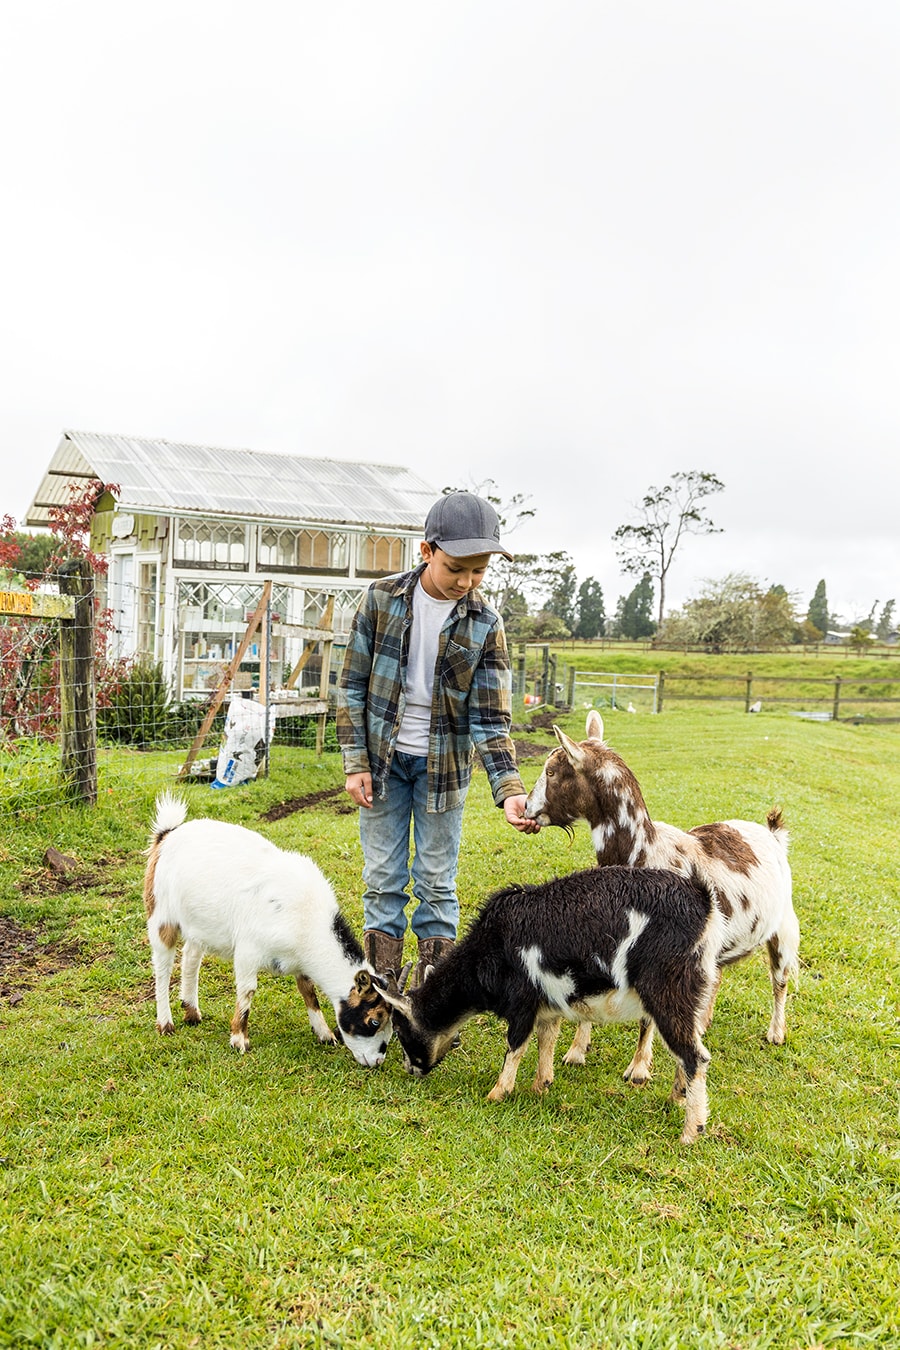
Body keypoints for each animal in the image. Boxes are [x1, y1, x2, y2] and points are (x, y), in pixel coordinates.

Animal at [143, 788, 391, 1063]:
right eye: (373, 1021)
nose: (378, 1060)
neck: (307, 920)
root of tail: (168, 834)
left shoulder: (299, 961)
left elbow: (308, 991)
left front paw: (324, 1033)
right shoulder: (248, 950)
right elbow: (248, 991)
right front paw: (239, 1039)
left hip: (199, 923)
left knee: (190, 957)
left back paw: (192, 1012)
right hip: (161, 916)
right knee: (162, 968)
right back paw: (166, 1024)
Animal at [377, 869, 728, 1144]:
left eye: (400, 1029)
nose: (411, 1069)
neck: (492, 944)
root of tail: (704, 903)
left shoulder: (522, 1000)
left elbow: (516, 1045)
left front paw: (497, 1093)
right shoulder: (547, 1005)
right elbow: (547, 1039)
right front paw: (540, 1086)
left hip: (668, 990)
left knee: (695, 1055)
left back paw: (691, 1132)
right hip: (693, 995)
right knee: (689, 1049)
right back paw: (676, 1097)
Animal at [523, 712, 798, 1080]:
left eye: (552, 771)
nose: (526, 806)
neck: (644, 850)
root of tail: (772, 833)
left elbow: (646, 1016)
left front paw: (638, 1068)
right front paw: (577, 1050)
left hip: (782, 927)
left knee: (779, 980)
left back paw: (776, 1033)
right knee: (717, 976)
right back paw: (704, 1021)